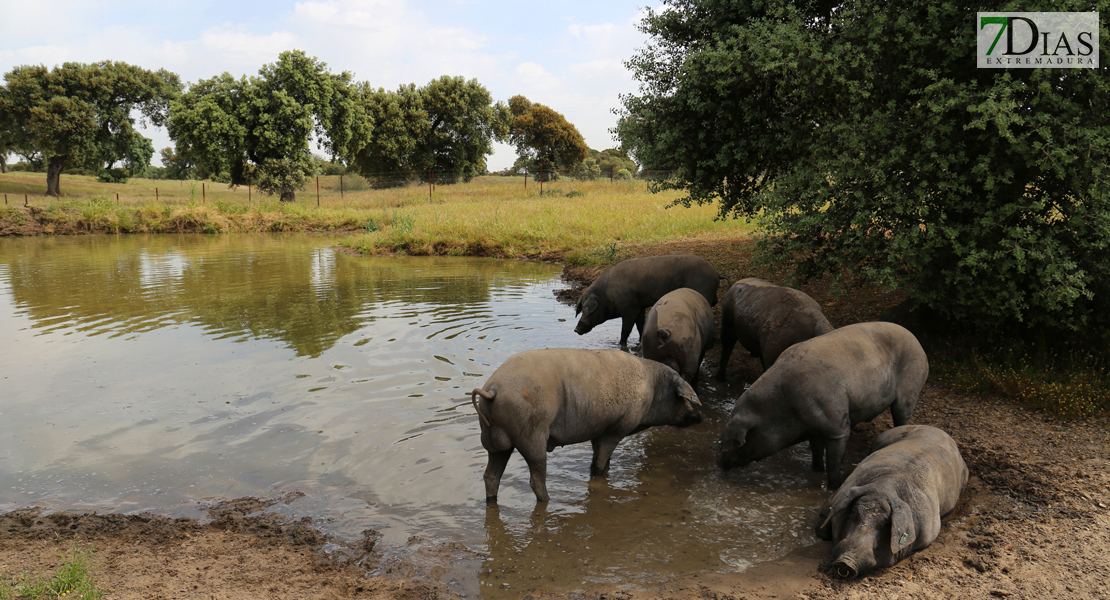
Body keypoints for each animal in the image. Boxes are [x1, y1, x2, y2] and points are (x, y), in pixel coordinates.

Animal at [470, 348, 701, 503]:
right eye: (685, 399)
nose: (700, 416)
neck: (652, 389)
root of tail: (492, 390)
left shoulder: (600, 431)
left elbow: (604, 460)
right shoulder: (617, 429)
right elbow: (597, 466)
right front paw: (597, 477)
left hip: (495, 442)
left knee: (491, 476)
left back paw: (491, 502)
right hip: (532, 437)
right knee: (536, 478)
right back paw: (548, 501)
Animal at [572, 253, 719, 346]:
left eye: (588, 310)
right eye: (581, 309)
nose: (576, 330)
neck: (607, 296)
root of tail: (716, 274)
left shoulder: (630, 310)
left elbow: (626, 330)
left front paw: (621, 345)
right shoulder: (640, 308)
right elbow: (640, 326)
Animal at [714, 319, 923, 487]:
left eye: (737, 442)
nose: (718, 462)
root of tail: (918, 343)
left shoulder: (838, 427)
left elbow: (834, 461)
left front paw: (833, 486)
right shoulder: (813, 426)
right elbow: (816, 450)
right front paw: (815, 471)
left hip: (910, 387)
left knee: (902, 415)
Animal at [812, 423, 967, 576]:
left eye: (886, 523)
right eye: (853, 513)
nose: (846, 563)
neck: (883, 488)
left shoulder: (929, 532)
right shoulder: (836, 497)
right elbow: (822, 526)